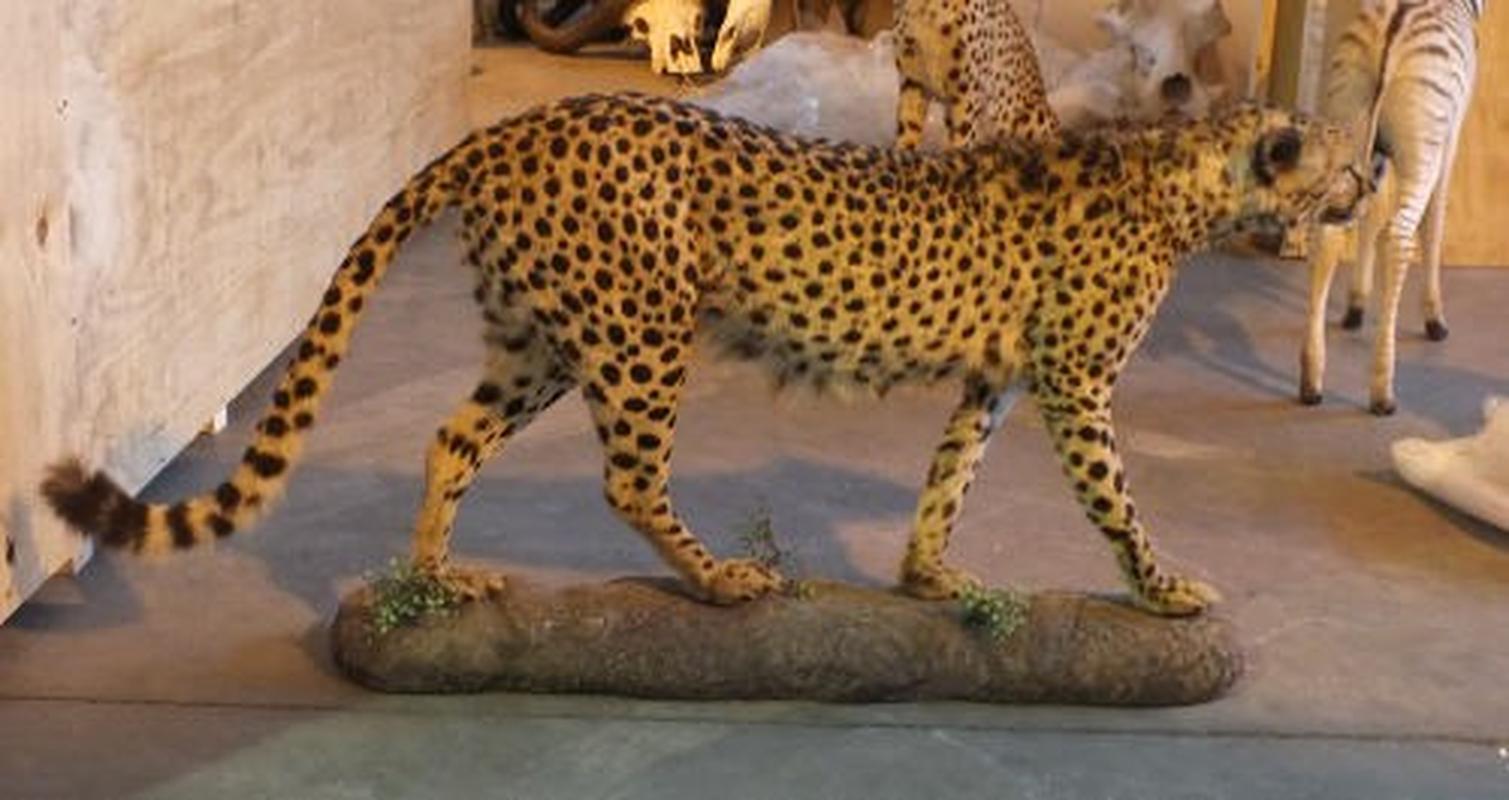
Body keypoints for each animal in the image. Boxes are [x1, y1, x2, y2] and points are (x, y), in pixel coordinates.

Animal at [41, 92, 1366, 617]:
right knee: (629, 476)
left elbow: (951, 474)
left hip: (542, 339)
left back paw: (437, 577)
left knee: (452, 433)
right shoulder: (1076, 385)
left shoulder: (1000, 378)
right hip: (639, 334)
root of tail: (519, 122)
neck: (1191, 176)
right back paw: (722, 575)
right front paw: (1167, 584)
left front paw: (932, 573)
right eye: (1344, 160)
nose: (1369, 184)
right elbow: (1116, 502)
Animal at [893, 0, 1060, 149]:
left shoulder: (968, 89)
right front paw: (903, 153)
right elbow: (908, 125)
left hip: (1032, 116)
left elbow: (962, 137)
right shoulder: (913, 80)